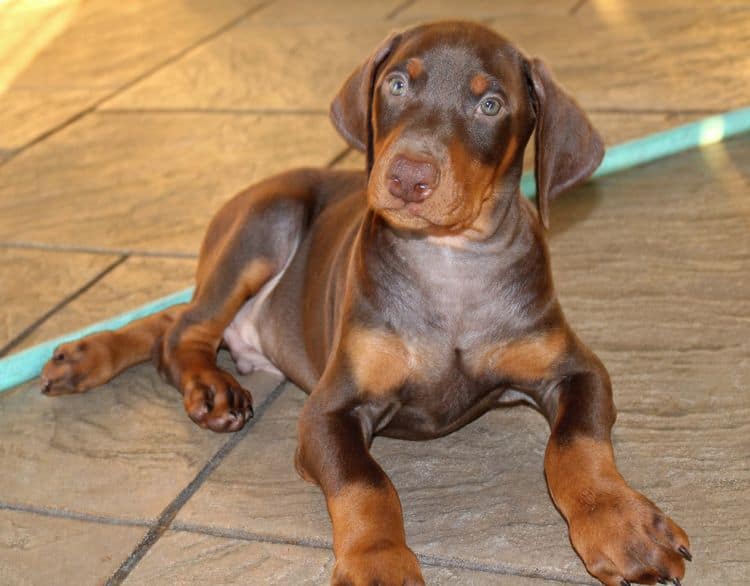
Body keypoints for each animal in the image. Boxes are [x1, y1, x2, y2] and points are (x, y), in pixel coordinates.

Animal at [42, 20, 692, 584]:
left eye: (490, 104)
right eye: (397, 84)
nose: (407, 177)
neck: (449, 260)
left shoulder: (576, 369)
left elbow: (575, 445)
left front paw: (621, 526)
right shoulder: (329, 408)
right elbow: (367, 484)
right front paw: (378, 562)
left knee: (172, 320)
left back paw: (86, 357)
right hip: (266, 220)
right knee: (185, 328)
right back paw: (198, 384)